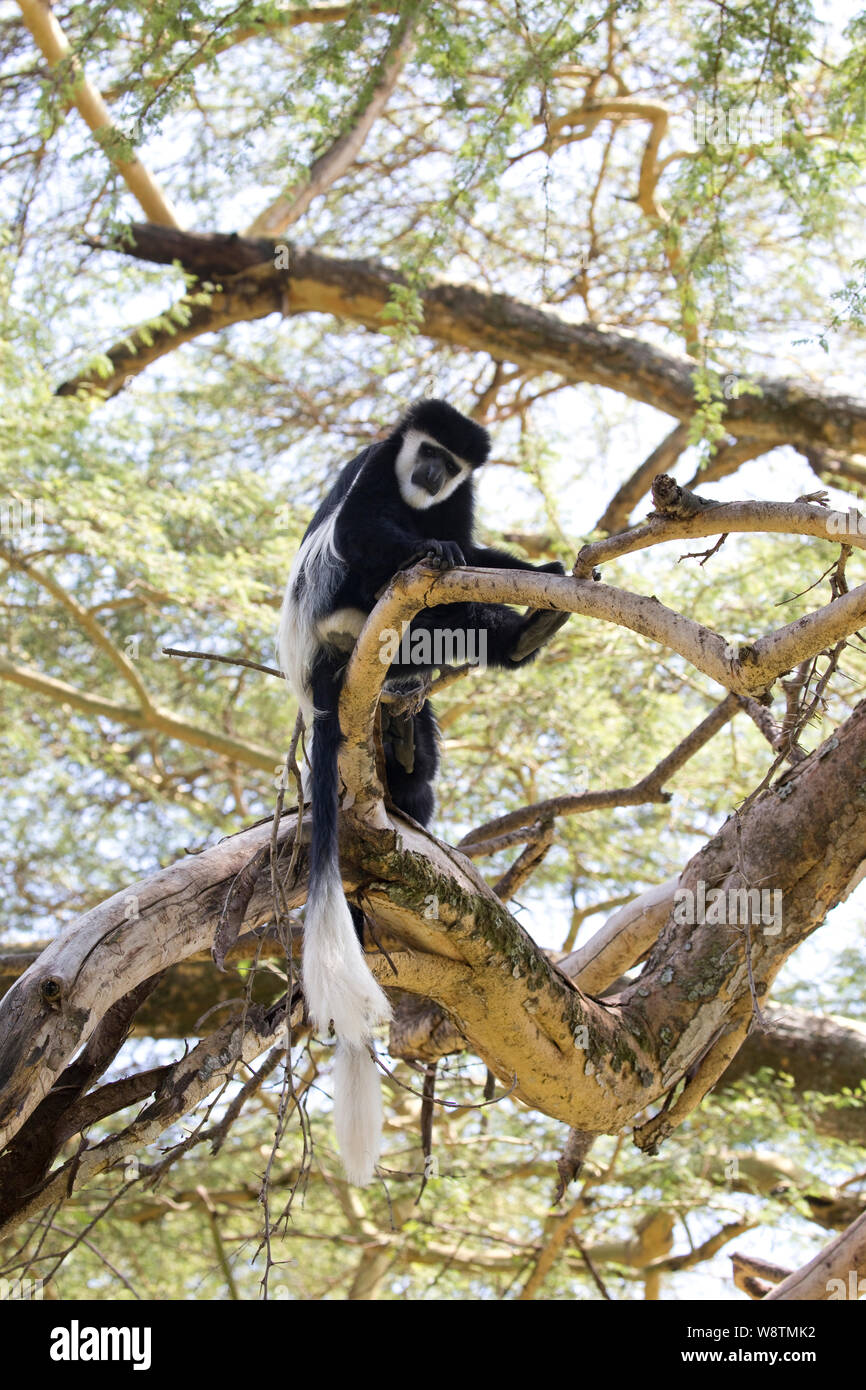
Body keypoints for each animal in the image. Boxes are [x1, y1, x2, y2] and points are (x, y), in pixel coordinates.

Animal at [277, 399, 568, 1185]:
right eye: (428, 451)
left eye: (453, 463)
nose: (433, 475)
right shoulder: (381, 465)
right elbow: (363, 531)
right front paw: (434, 548)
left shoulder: (462, 496)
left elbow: (471, 544)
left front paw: (538, 571)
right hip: (344, 608)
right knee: (386, 573)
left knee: (422, 767)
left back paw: (508, 645)